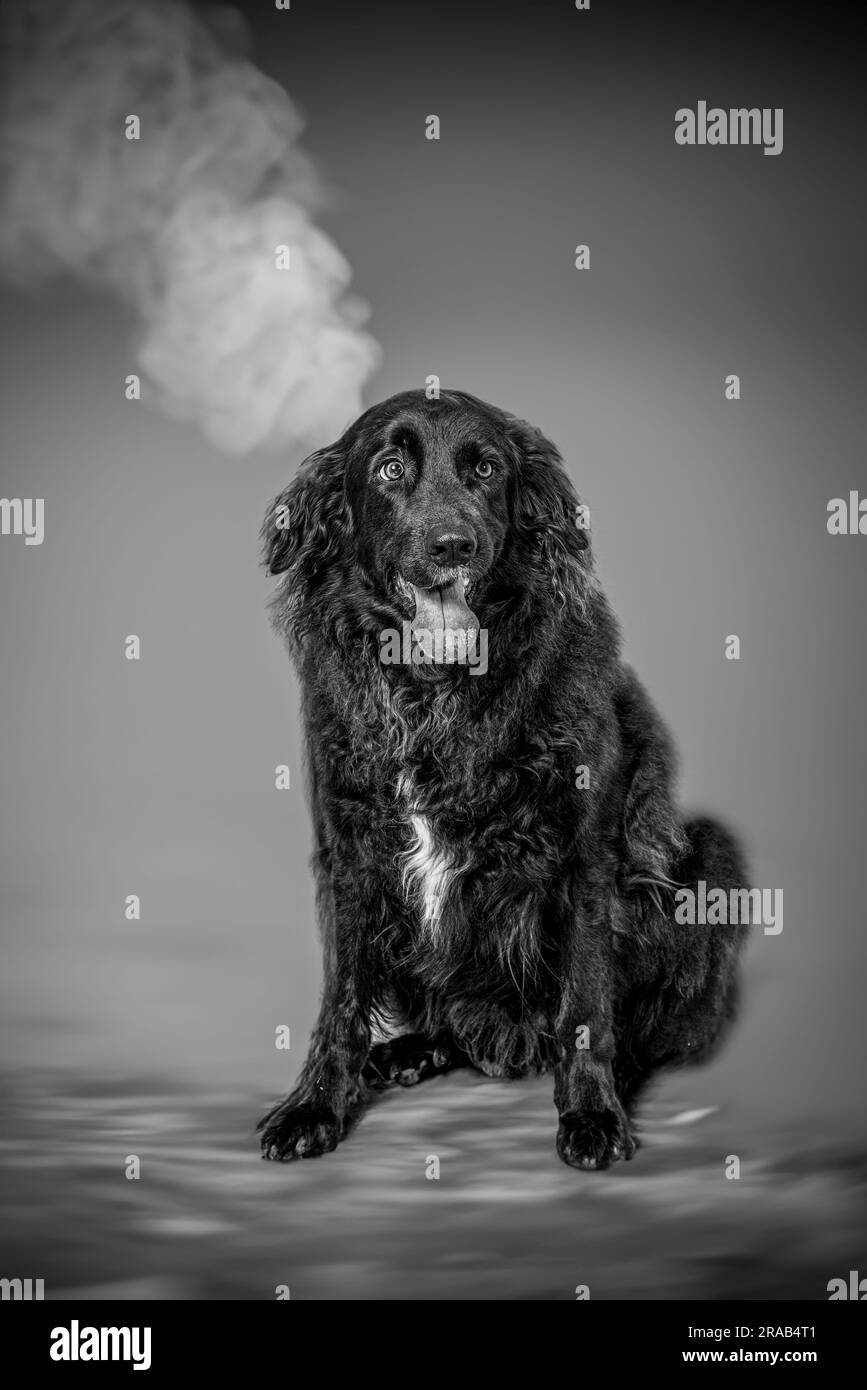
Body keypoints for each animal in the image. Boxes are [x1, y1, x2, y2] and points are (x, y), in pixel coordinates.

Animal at [255, 386, 744, 1167]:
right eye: (390, 469)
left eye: (485, 470)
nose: (453, 546)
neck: (436, 694)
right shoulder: (348, 853)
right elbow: (340, 1002)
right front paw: (315, 1105)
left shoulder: (587, 857)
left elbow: (585, 1006)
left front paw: (591, 1113)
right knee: (455, 1024)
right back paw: (411, 1051)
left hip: (710, 858)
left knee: (647, 1031)